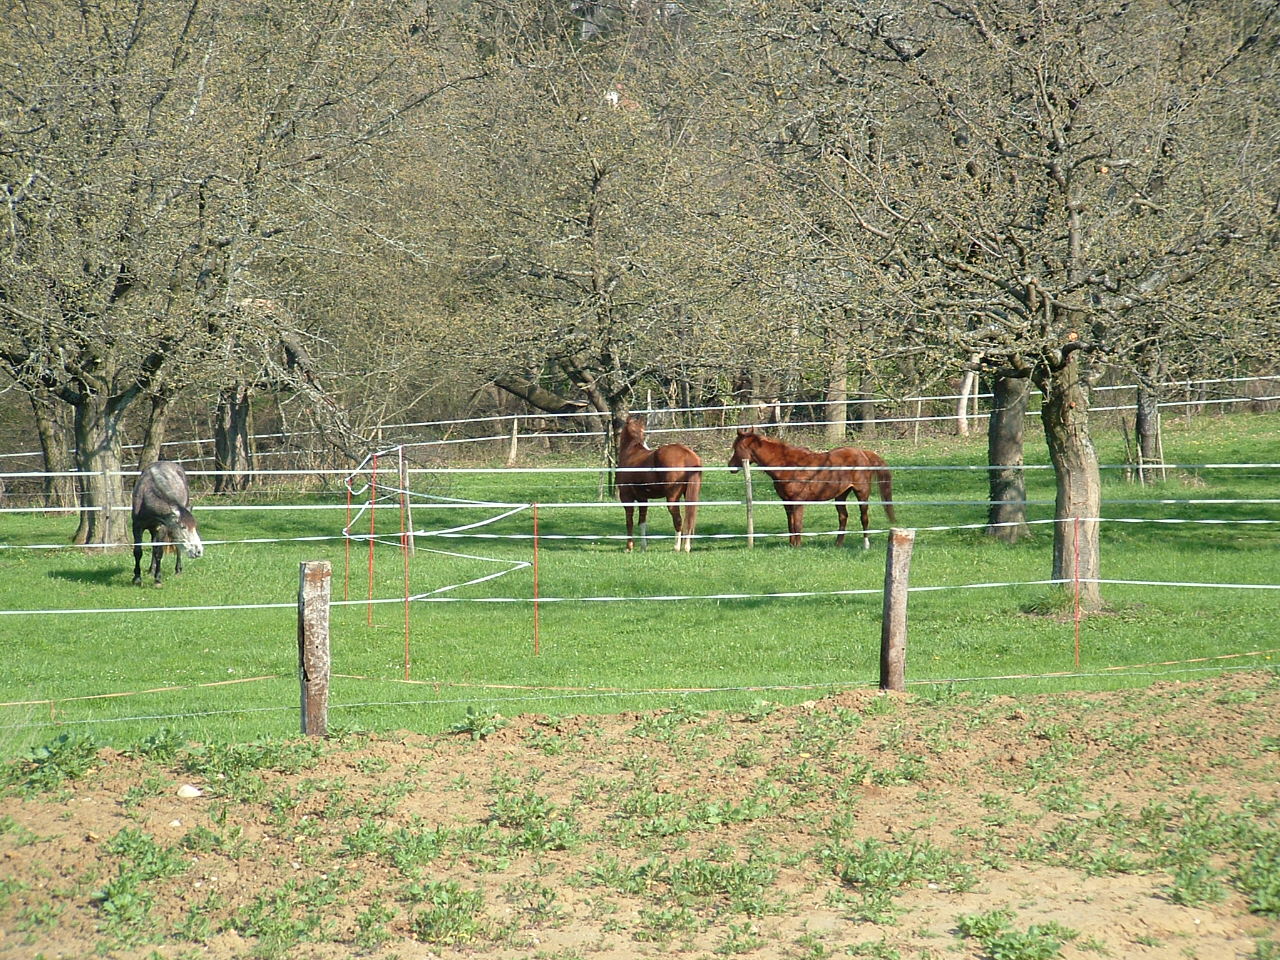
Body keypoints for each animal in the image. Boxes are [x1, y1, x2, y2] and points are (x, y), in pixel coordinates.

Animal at [616, 417, 706, 552]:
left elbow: (629, 522)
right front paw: (643, 547)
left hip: (672, 499)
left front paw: (629, 547)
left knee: (678, 520)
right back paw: (687, 547)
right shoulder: (643, 499)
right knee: (689, 520)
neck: (631, 452)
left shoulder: (626, 497)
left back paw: (677, 547)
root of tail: (687, 454)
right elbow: (642, 522)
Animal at [727, 427, 896, 547]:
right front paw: (791, 545)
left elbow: (797, 524)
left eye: (737, 448)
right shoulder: (786, 502)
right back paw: (838, 544)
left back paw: (865, 544)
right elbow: (790, 524)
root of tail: (863, 452)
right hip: (841, 495)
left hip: (862, 492)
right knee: (843, 517)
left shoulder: (798, 502)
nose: (730, 467)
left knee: (864, 518)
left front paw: (797, 546)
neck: (788, 465)